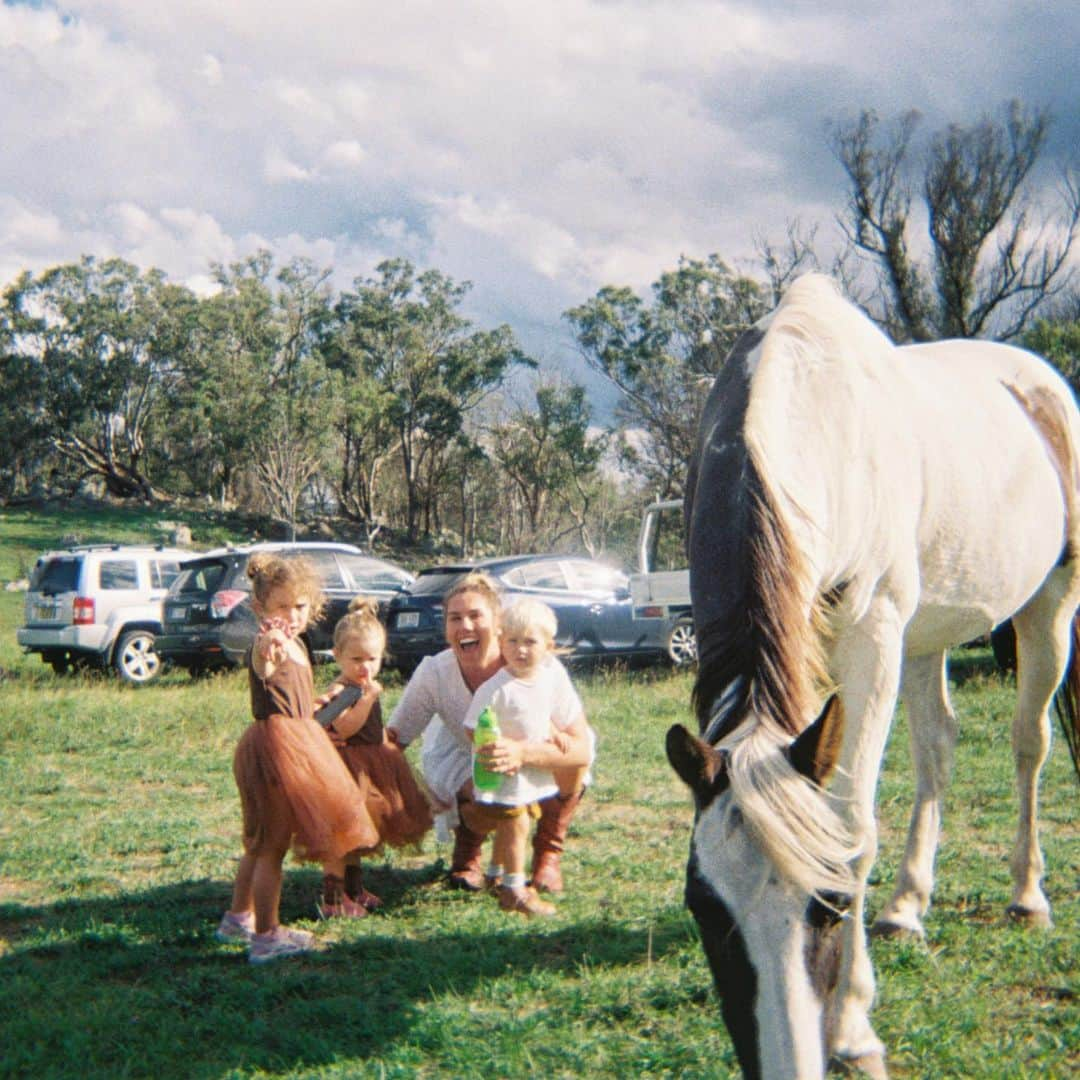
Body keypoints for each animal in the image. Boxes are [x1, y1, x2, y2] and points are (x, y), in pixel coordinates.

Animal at [665, 276, 1080, 1080]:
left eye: (830, 902)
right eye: (705, 907)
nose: (791, 1061)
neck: (814, 409)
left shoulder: (872, 635)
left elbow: (853, 820)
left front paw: (855, 1028)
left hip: (1047, 608)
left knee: (1028, 742)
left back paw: (1027, 893)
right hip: (924, 638)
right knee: (937, 748)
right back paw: (906, 906)